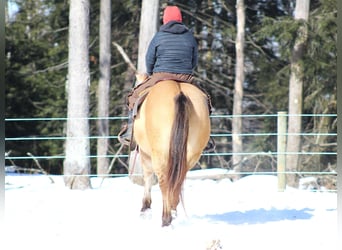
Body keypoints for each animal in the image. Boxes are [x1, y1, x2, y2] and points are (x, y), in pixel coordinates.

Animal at [132, 78, 210, 227]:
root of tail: (179, 92)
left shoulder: (145, 155)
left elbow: (147, 177)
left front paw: (145, 209)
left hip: (160, 155)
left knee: (164, 183)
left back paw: (166, 219)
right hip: (190, 155)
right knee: (177, 182)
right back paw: (173, 213)